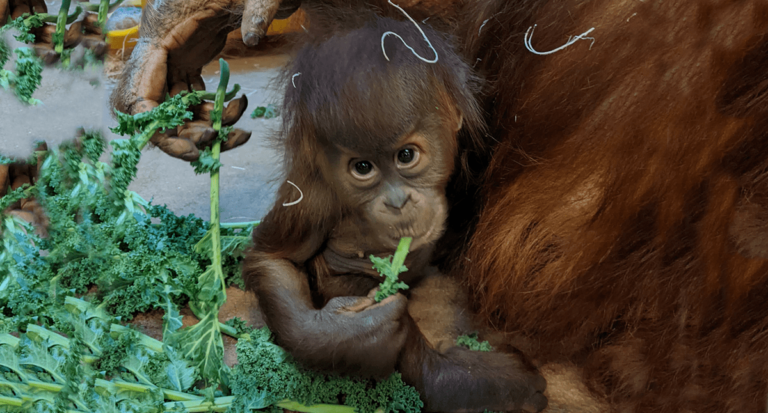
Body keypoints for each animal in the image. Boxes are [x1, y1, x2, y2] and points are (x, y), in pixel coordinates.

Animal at [242, 16, 547, 413]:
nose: (398, 201)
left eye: (406, 156)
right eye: (362, 167)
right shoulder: (312, 198)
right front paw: (353, 333)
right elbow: (273, 258)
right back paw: (475, 383)